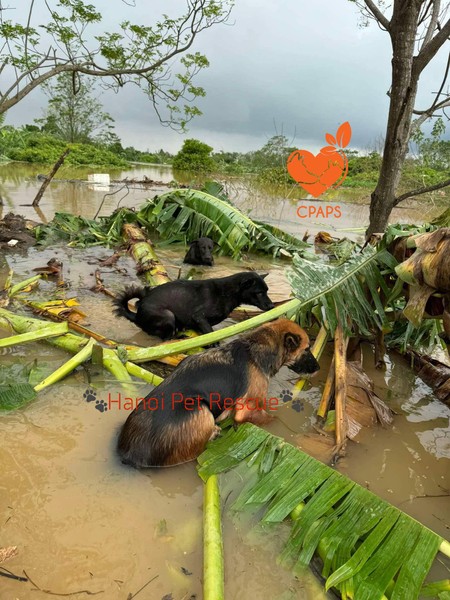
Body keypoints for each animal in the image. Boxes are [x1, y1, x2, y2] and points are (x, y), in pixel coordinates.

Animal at [112, 270, 274, 340]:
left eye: (267, 290)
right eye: (260, 292)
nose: (272, 306)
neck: (227, 292)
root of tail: (136, 315)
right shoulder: (199, 316)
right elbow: (210, 334)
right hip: (168, 316)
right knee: (165, 339)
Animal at [116, 318, 320, 468]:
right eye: (307, 349)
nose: (318, 368)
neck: (256, 347)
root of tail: (130, 455)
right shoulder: (247, 409)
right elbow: (272, 418)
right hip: (199, 409)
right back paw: (214, 432)